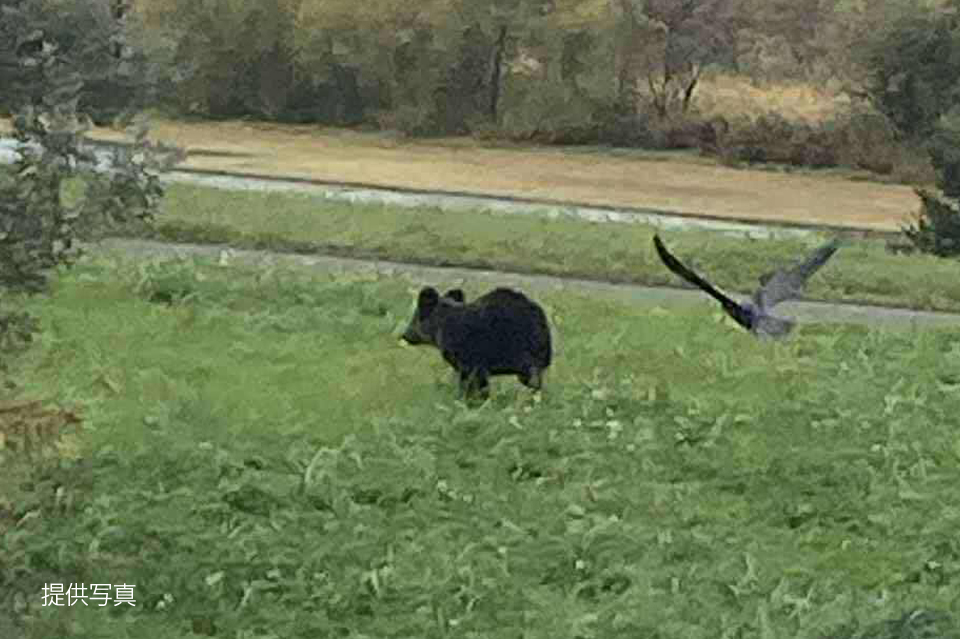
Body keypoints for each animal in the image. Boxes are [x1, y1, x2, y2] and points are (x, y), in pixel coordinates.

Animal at [401, 286, 552, 399]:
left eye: (415, 316)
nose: (405, 335)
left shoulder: (470, 358)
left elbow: (471, 382)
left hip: (521, 348)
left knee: (531, 377)